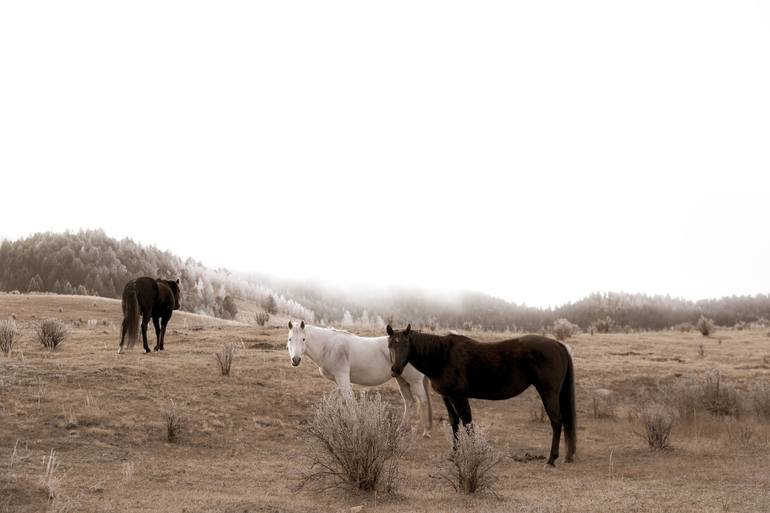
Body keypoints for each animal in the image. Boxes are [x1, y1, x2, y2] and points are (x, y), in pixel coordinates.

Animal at [286, 320, 432, 436]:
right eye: (290, 339)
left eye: (303, 339)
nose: (295, 360)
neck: (329, 346)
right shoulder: (338, 380)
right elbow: (343, 400)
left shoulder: (342, 376)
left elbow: (350, 401)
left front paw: (354, 426)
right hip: (401, 379)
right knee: (409, 401)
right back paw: (402, 429)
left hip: (415, 381)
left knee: (422, 401)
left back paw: (424, 432)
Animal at [388, 326, 572, 466]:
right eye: (390, 346)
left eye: (406, 345)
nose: (395, 370)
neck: (443, 355)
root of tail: (558, 345)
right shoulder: (447, 397)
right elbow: (454, 422)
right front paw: (454, 454)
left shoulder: (459, 396)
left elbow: (467, 423)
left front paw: (473, 453)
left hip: (549, 393)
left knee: (556, 421)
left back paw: (551, 459)